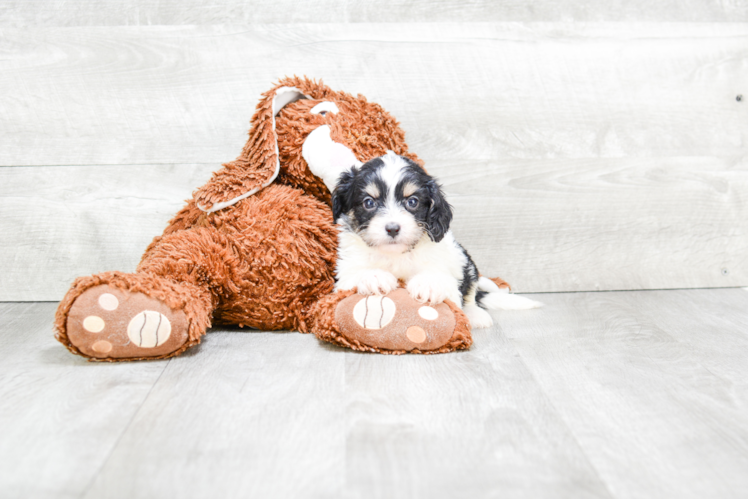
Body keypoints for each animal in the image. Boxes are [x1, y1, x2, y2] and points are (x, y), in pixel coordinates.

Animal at [332, 149, 536, 328]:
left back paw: (475, 314)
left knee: (470, 292)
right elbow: (354, 274)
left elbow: (443, 280)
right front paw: (374, 276)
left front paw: (428, 283)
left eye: (412, 202)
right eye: (368, 202)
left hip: (465, 260)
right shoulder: (344, 274)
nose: (392, 228)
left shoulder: (446, 267)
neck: (397, 255)